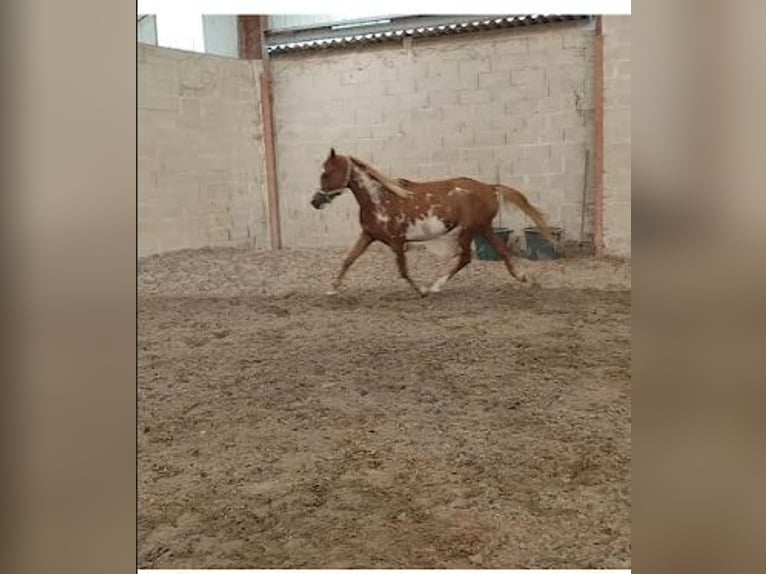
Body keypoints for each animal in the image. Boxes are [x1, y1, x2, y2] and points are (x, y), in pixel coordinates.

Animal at [310, 148, 557, 296]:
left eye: (326, 173)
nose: (315, 201)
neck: (380, 198)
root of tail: (489, 187)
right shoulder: (369, 235)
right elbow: (348, 260)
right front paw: (332, 289)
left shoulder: (397, 241)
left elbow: (403, 270)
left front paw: (422, 290)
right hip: (483, 227)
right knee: (503, 252)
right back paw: (527, 280)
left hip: (468, 230)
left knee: (466, 257)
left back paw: (436, 285)